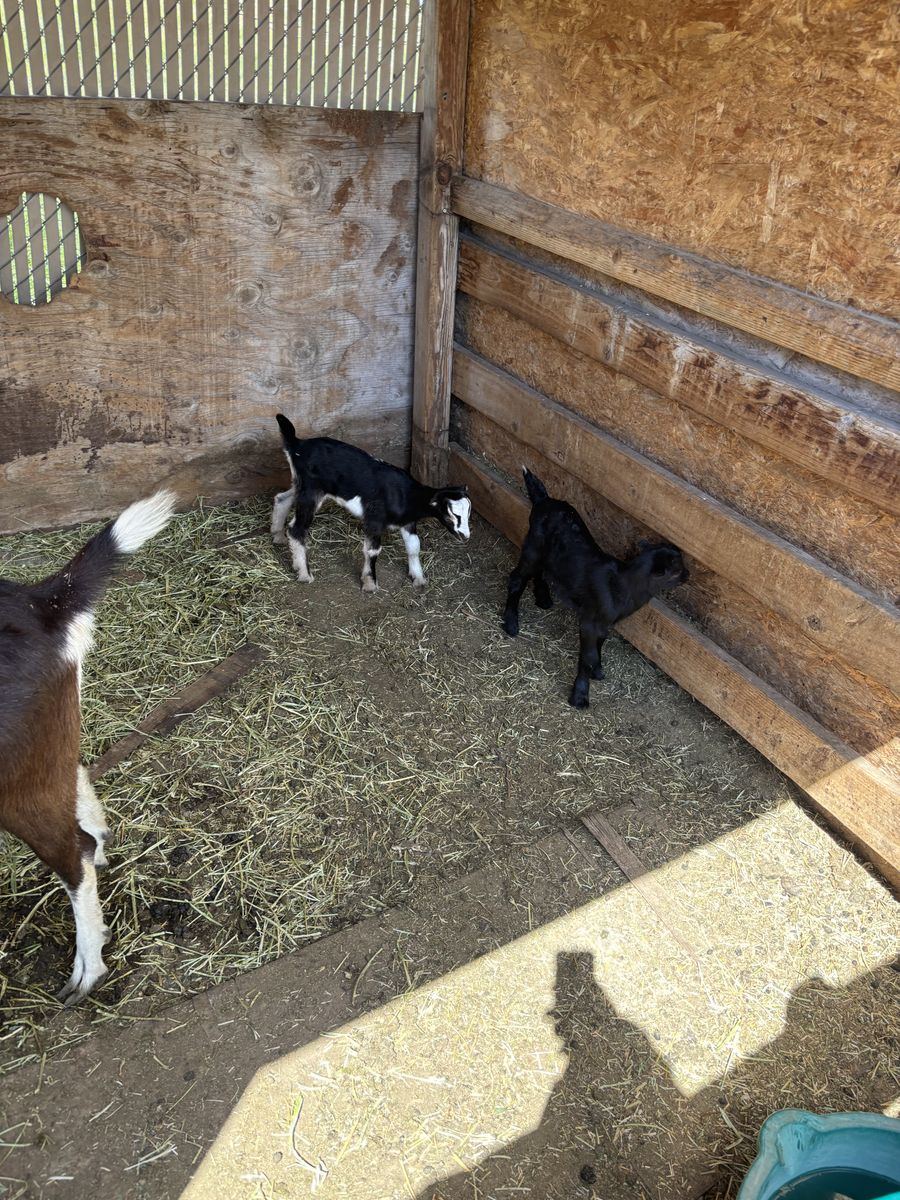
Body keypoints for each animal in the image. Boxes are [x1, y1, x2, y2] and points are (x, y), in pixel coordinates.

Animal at [272, 414, 472, 592]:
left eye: (468, 513)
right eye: (453, 514)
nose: (465, 536)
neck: (406, 495)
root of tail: (297, 444)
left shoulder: (408, 522)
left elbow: (414, 546)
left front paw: (419, 578)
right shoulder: (374, 519)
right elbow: (373, 550)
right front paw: (370, 584)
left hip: (301, 485)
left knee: (282, 498)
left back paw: (277, 536)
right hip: (311, 492)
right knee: (297, 529)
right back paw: (304, 574)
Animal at [503, 469, 688, 708]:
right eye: (676, 571)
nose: (688, 575)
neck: (624, 584)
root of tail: (544, 499)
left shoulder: (605, 622)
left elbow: (599, 645)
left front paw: (598, 671)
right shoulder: (590, 621)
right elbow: (588, 656)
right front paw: (580, 695)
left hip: (548, 554)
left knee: (541, 571)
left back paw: (543, 598)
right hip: (533, 546)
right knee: (517, 579)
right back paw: (511, 623)